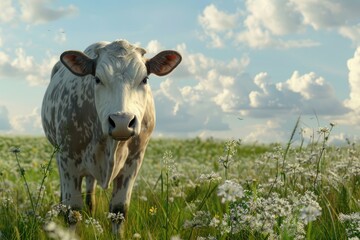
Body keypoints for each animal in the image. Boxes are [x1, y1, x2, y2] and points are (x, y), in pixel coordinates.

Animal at [40, 39, 181, 236]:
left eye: (144, 79)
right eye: (97, 79)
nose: (122, 121)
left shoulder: (133, 162)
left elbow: (118, 211)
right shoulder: (68, 160)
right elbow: (73, 211)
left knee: (90, 191)